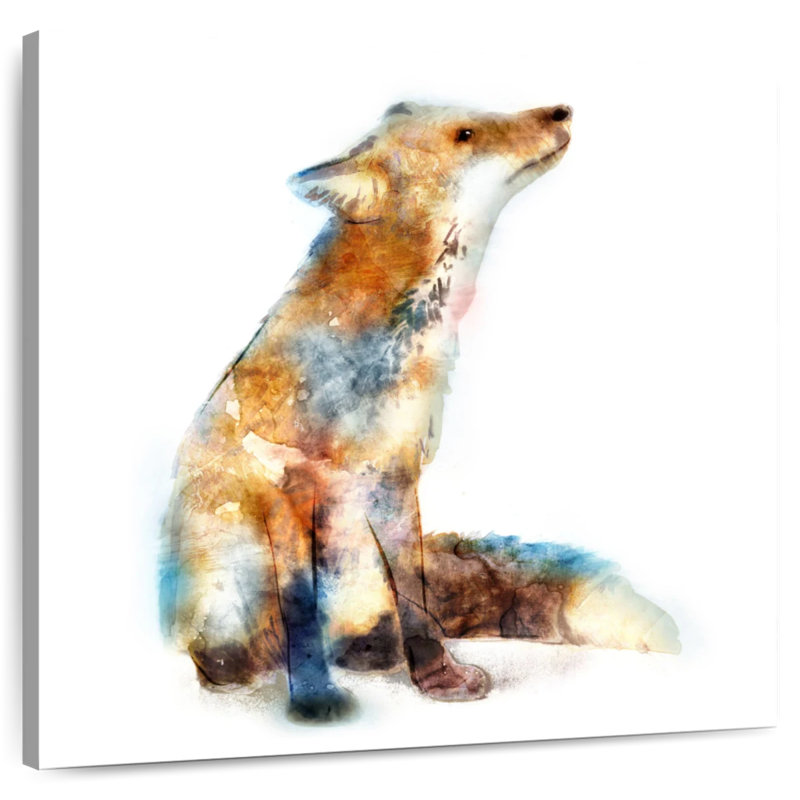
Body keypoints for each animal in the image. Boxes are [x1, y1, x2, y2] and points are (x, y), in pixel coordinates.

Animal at [160, 101, 680, 722]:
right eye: (467, 134)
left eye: (478, 117)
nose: (561, 110)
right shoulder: (286, 490)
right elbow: (301, 611)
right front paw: (314, 702)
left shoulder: (396, 474)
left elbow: (416, 598)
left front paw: (437, 679)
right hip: (227, 591)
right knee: (244, 651)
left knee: (362, 626)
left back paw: (372, 653)